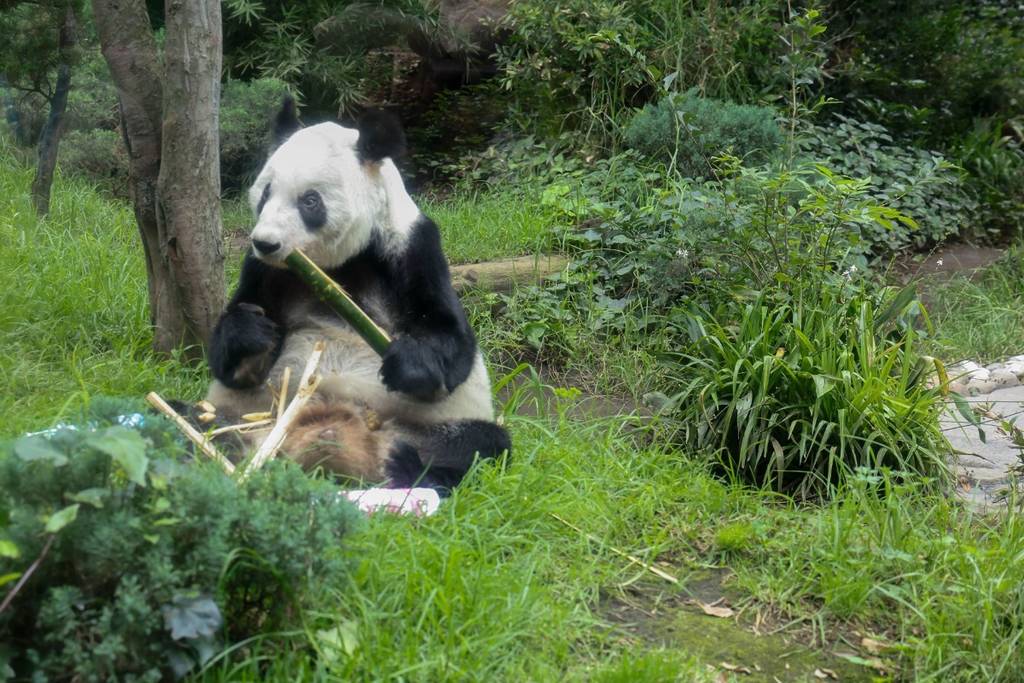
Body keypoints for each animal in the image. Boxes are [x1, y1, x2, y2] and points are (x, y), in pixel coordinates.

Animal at [204, 98, 510, 493]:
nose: (266, 242)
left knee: (481, 446)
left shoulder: (411, 247)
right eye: (266, 193)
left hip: (432, 426)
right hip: (248, 413)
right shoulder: (264, 270)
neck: (336, 266)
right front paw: (252, 334)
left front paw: (408, 361)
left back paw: (405, 465)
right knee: (192, 417)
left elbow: (452, 341)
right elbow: (229, 361)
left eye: (310, 201)